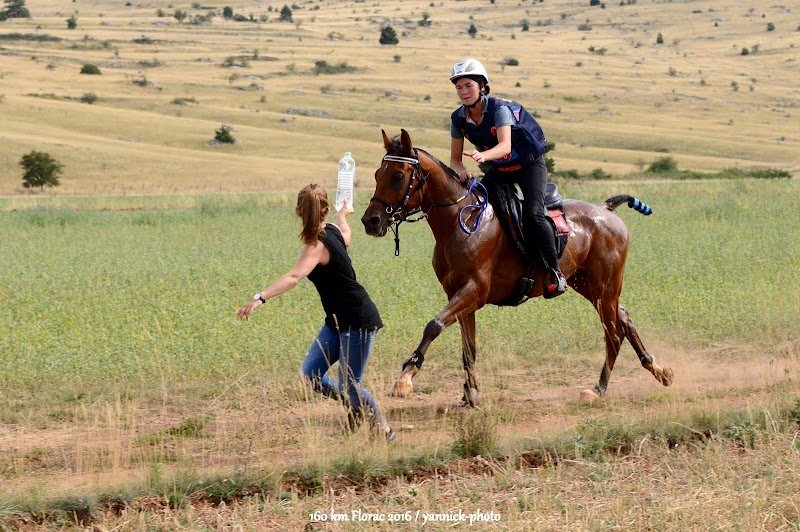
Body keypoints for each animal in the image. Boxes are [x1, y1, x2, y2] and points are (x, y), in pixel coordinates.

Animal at [361, 129, 673, 407]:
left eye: (398, 176)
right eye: (377, 174)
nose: (370, 221)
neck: (459, 221)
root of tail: (606, 210)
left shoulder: (474, 291)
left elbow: (434, 325)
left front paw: (405, 377)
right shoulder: (460, 296)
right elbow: (468, 348)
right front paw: (470, 394)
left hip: (604, 288)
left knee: (613, 334)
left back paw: (599, 389)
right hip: (588, 285)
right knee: (625, 319)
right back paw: (658, 370)